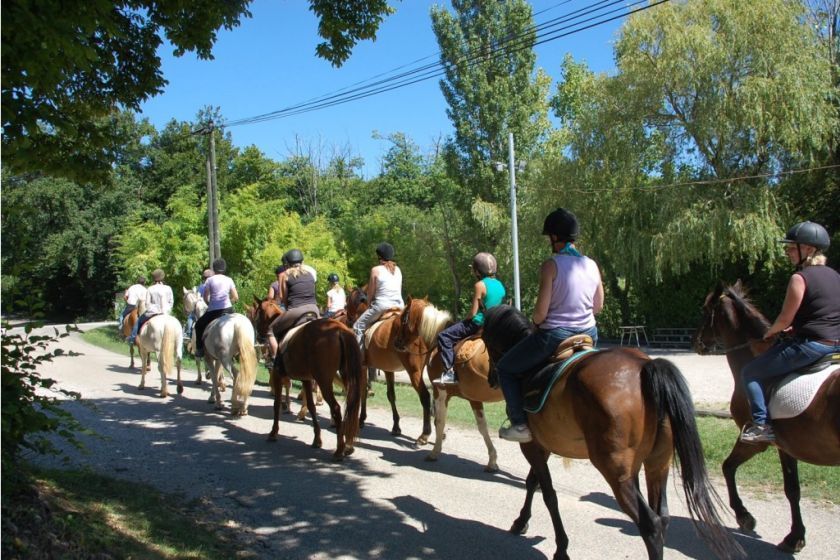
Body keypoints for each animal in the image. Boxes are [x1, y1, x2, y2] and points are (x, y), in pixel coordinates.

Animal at [398, 300, 502, 470]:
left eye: (402, 319)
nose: (396, 342)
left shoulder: (440, 391)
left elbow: (440, 421)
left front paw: (435, 452)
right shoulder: (474, 398)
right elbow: (482, 426)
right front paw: (492, 460)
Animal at [482, 306, 740, 560]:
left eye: (485, 343)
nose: (491, 378)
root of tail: (644, 367)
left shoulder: (531, 446)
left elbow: (548, 495)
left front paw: (561, 548)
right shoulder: (542, 446)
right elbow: (532, 483)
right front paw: (521, 522)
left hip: (616, 472)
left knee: (651, 524)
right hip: (657, 464)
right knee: (663, 516)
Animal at [692, 282, 836, 552]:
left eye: (705, 312)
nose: (695, 342)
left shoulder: (756, 441)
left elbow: (728, 467)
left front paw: (744, 517)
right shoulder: (785, 446)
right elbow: (793, 489)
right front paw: (795, 536)